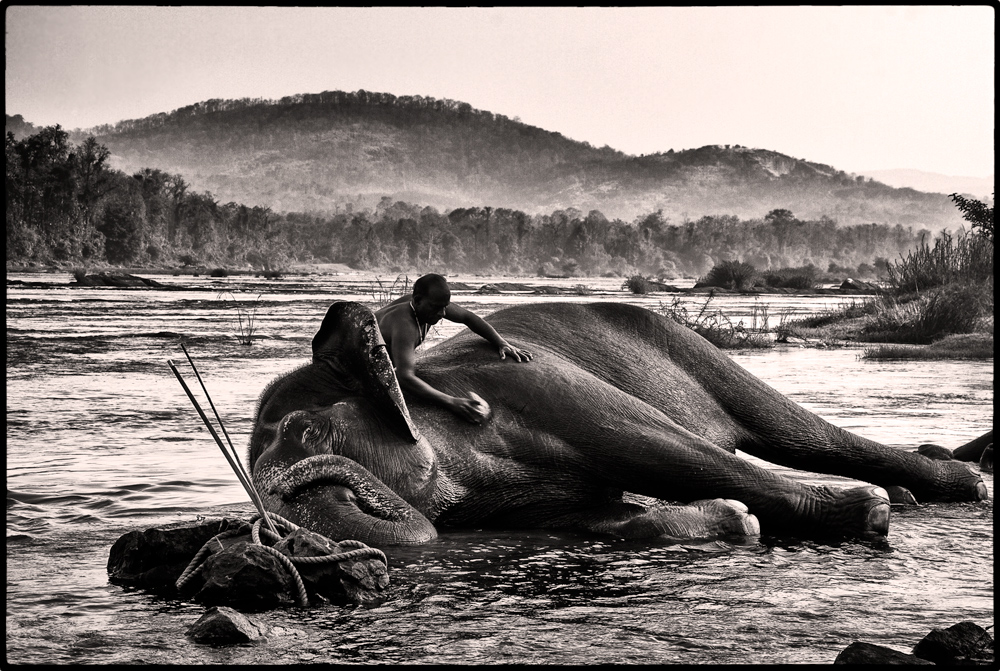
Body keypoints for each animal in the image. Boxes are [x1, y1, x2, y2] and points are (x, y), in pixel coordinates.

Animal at [248, 302, 984, 548]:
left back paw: (950, 485)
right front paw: (736, 522)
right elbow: (597, 514)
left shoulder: (537, 386)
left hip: (697, 353)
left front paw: (867, 511)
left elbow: (659, 447)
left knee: (799, 433)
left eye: (306, 431)